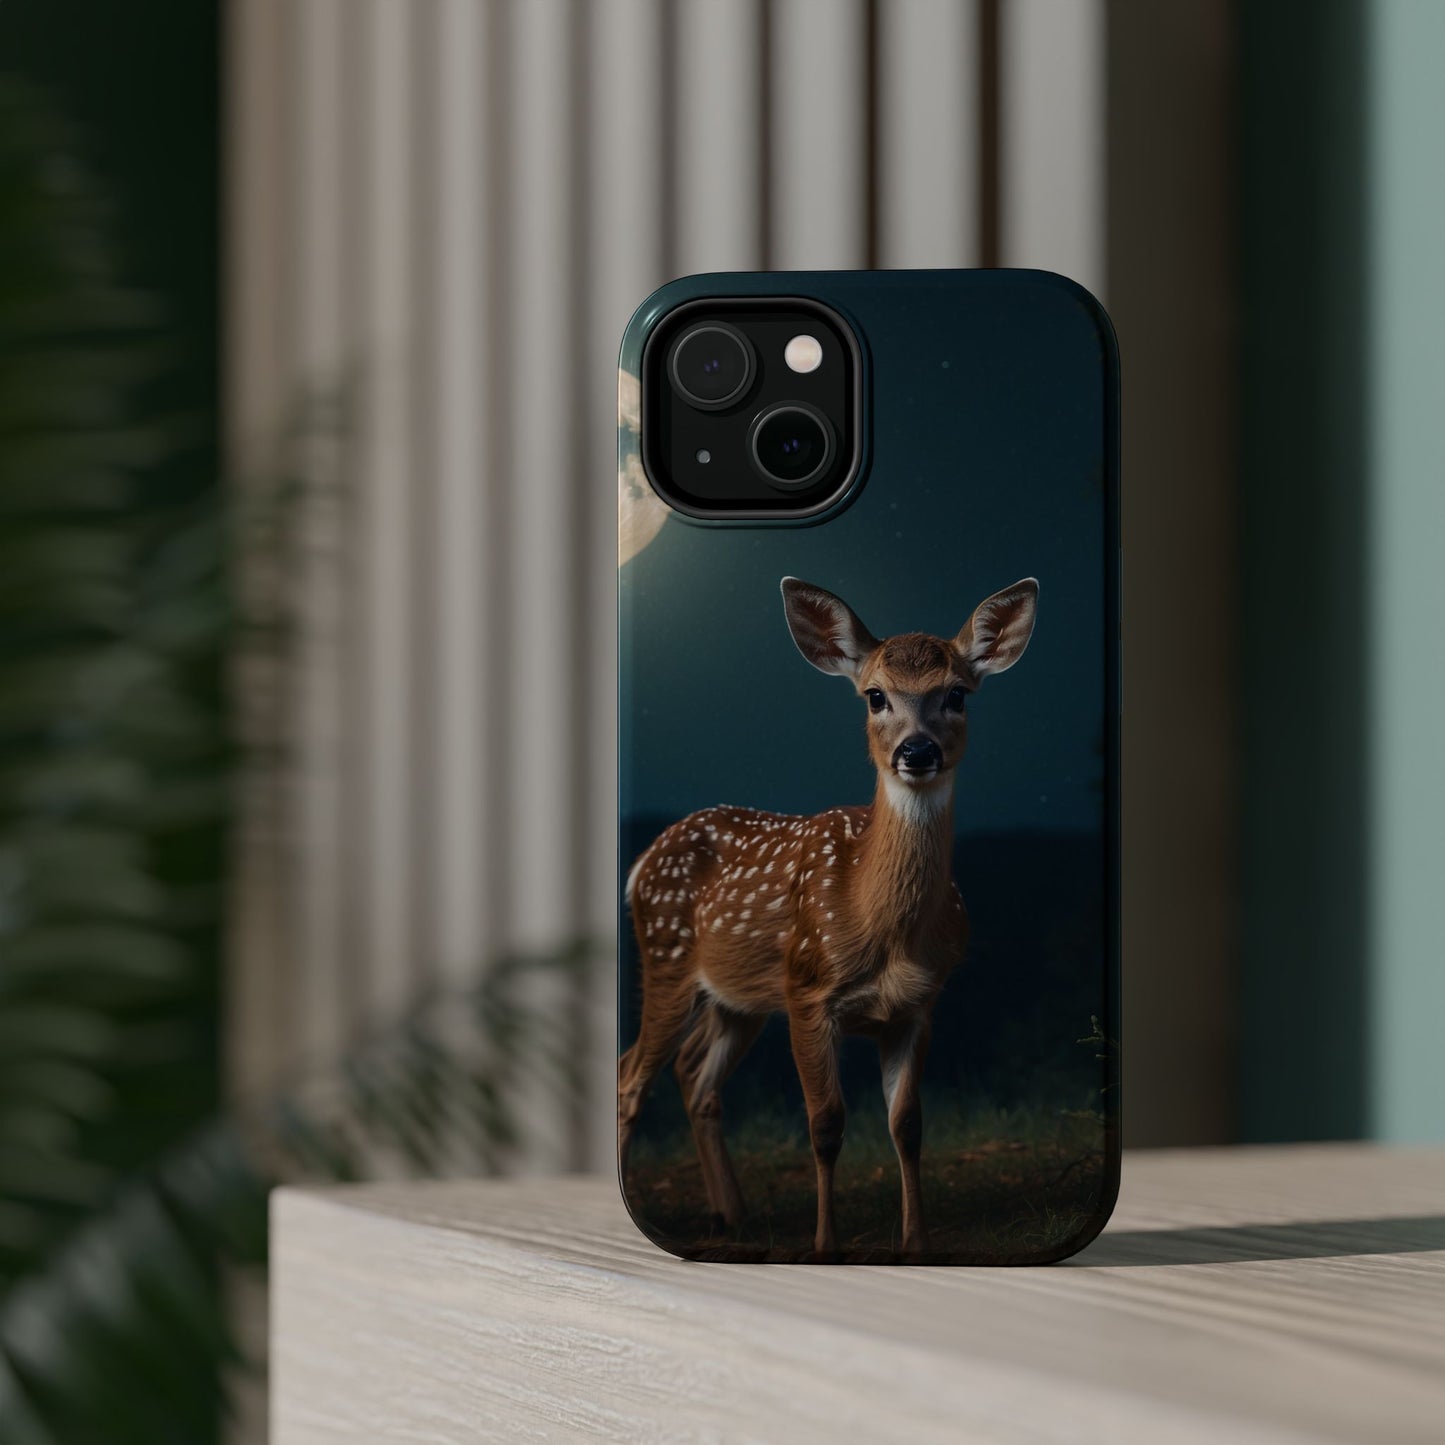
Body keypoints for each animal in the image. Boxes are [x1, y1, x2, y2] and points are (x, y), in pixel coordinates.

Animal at [618, 575, 1038, 1257]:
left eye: (956, 694)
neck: (882, 928)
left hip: (740, 997)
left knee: (694, 1074)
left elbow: (908, 1125)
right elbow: (825, 1123)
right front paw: (826, 1246)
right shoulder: (809, 991)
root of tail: (642, 862)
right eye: (875, 695)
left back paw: (732, 1215)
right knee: (631, 1076)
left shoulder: (917, 1006)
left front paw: (916, 1244)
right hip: (668, 959)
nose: (916, 751)